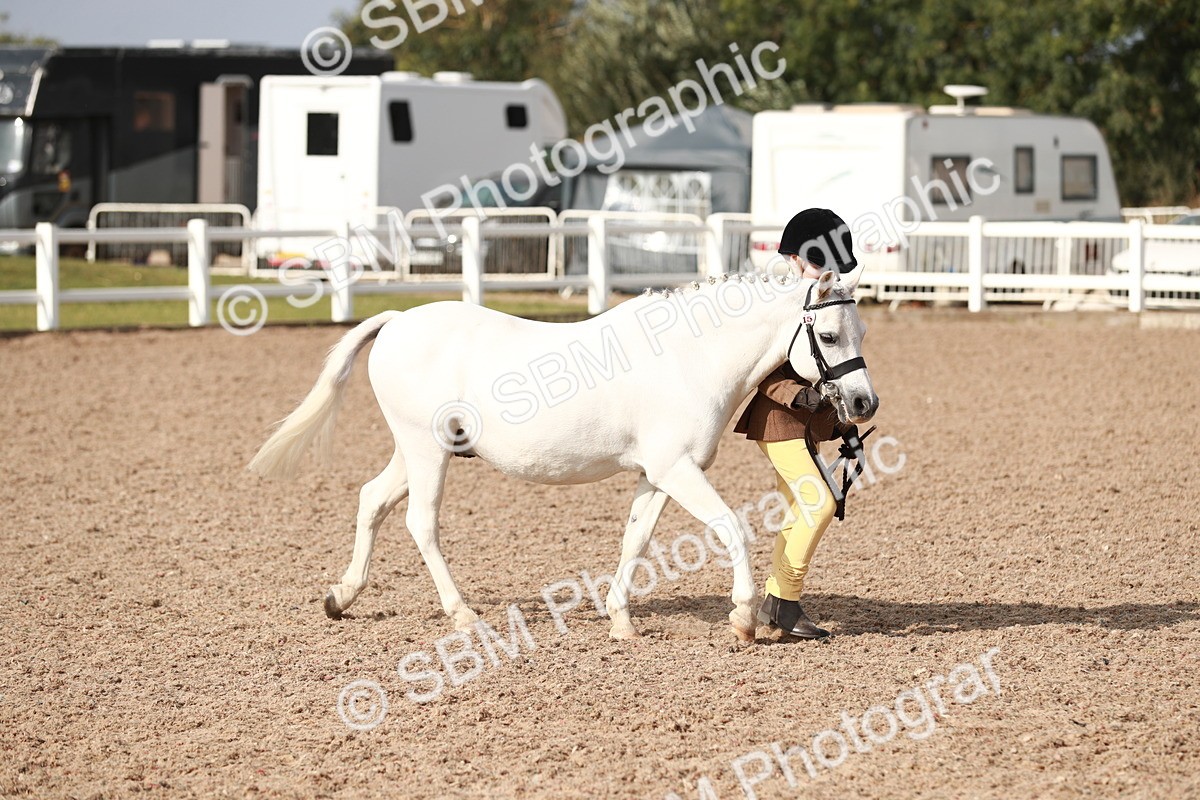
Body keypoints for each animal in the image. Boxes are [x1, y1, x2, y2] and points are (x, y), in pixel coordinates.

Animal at [248, 268, 878, 641]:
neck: (686, 357)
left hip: (418, 450)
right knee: (419, 522)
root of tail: (398, 319)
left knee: (372, 501)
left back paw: (341, 597)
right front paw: (744, 618)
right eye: (828, 337)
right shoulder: (678, 469)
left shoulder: (657, 474)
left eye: (861, 330)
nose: (863, 402)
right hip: (426, 452)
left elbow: (634, 539)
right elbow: (730, 528)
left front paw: (621, 621)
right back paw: (463, 614)